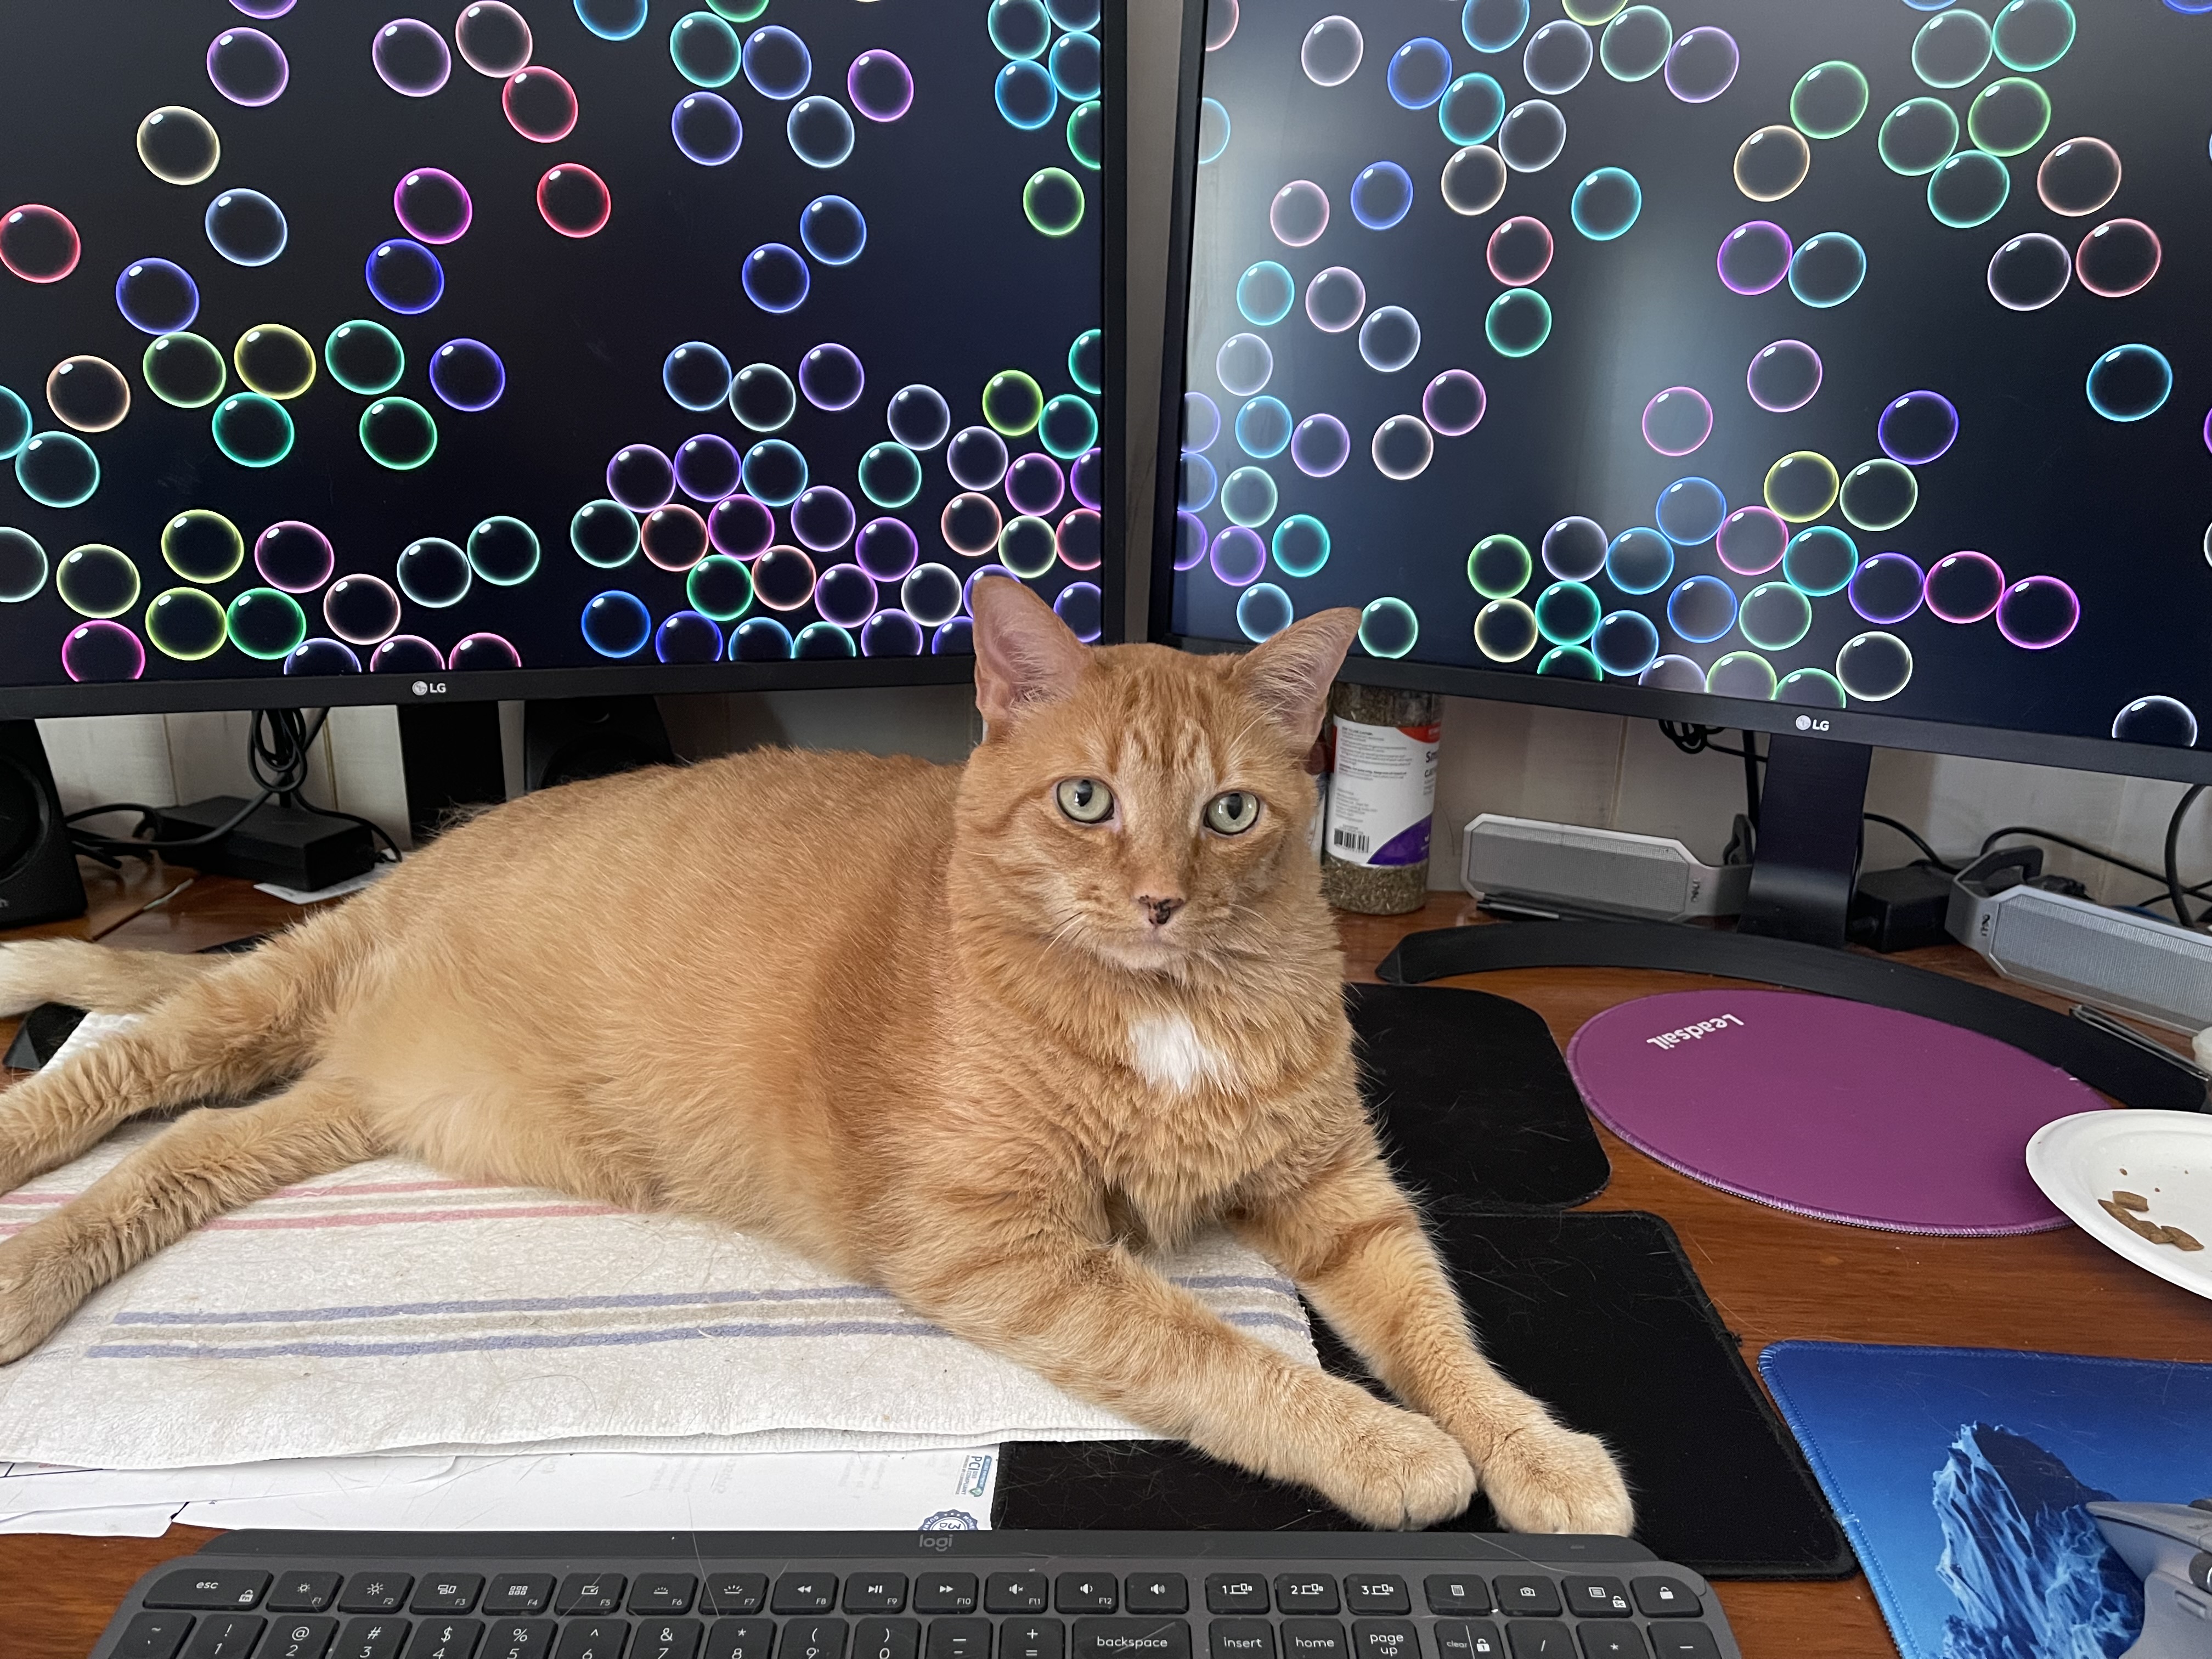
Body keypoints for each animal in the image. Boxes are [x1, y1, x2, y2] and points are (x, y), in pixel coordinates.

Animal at [0, 576, 1630, 1534]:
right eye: (1088, 802)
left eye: (1231, 813)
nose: (1163, 897)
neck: (1158, 998)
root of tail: (432, 850)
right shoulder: (1000, 1246)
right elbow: (1219, 1354)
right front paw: (1380, 1444)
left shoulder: (1336, 1193)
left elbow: (1441, 1334)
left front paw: (1532, 1452)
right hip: (266, 1007)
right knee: (118, 1073)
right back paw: (21, 1251)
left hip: (329, 1113)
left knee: (184, 1151)